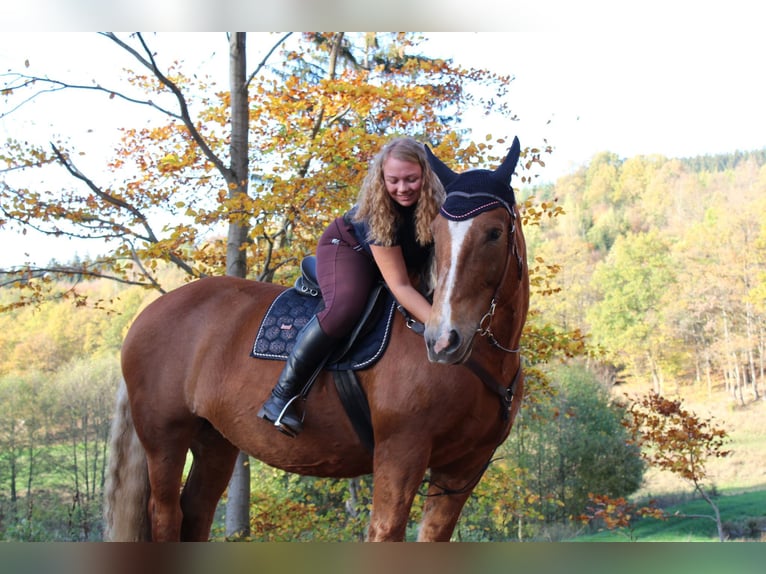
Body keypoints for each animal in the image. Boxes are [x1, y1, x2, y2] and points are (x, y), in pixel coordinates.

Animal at [103, 137, 529, 542]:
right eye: (437, 238)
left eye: (494, 233)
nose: (443, 341)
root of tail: (148, 314)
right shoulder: (400, 454)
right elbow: (386, 531)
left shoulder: (462, 471)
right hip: (165, 439)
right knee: (167, 515)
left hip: (215, 439)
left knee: (196, 512)